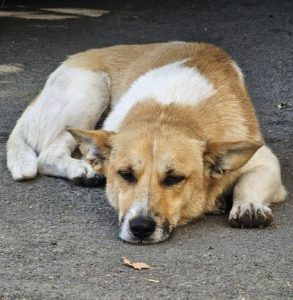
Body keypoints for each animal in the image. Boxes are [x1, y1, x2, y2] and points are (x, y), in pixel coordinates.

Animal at [6, 42, 286, 244]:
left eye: (174, 179)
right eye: (125, 174)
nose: (140, 228)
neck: (168, 113)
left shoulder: (265, 161)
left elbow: (249, 182)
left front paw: (248, 205)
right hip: (90, 91)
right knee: (48, 154)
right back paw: (81, 169)